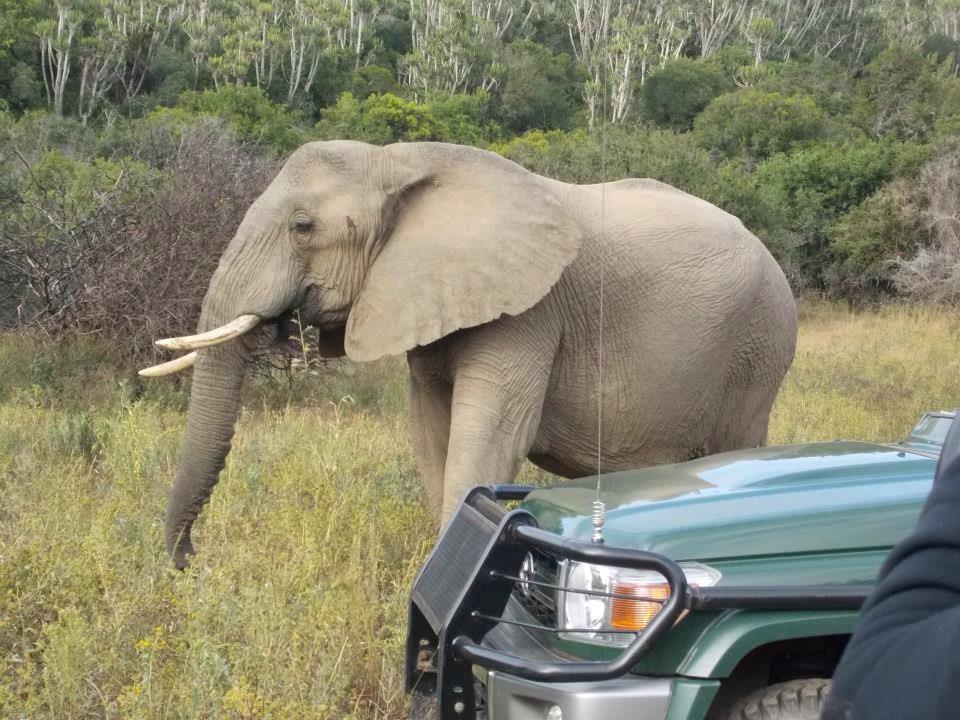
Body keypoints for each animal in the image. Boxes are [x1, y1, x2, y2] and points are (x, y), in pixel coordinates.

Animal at [142, 139, 800, 568]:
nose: (190, 561)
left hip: (756, 347)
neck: (402, 161)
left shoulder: (531, 311)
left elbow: (490, 436)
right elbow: (432, 432)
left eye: (302, 226)